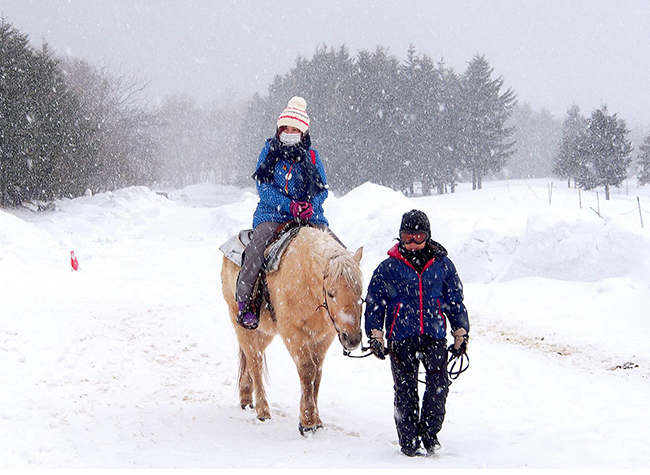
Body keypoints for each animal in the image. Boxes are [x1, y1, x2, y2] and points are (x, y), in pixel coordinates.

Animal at [220, 227, 362, 436]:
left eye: (360, 291)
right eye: (331, 293)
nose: (352, 339)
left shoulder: (323, 338)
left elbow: (317, 374)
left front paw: (316, 420)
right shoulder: (294, 335)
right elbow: (307, 371)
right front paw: (308, 423)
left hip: (265, 333)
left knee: (252, 359)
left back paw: (246, 398)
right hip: (241, 325)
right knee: (255, 362)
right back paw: (263, 411)